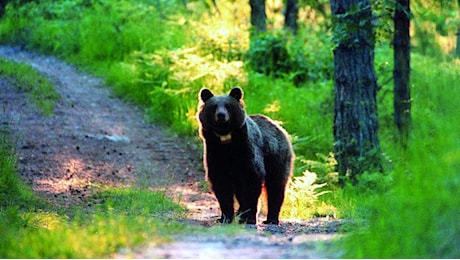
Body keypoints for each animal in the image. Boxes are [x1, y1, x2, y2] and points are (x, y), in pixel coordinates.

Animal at [196, 86, 292, 224]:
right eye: (214, 106)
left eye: (228, 105)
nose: (221, 115)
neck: (226, 141)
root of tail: (278, 127)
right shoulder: (215, 152)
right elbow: (221, 184)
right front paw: (225, 217)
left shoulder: (247, 151)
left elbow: (252, 180)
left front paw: (248, 217)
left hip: (277, 157)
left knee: (276, 186)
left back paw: (271, 218)